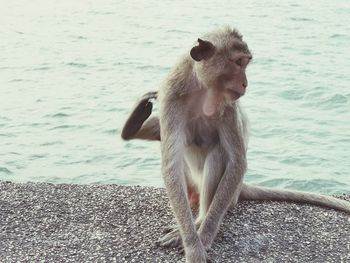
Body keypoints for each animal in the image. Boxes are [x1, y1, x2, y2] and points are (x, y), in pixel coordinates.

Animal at [121, 27, 350, 263]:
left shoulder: (228, 107)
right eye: (239, 62)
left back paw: (200, 220)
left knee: (219, 156)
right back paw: (132, 125)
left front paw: (202, 239)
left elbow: (237, 161)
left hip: (231, 195)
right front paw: (192, 243)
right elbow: (171, 165)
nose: (245, 83)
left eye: (245, 63)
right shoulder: (171, 97)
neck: (202, 90)